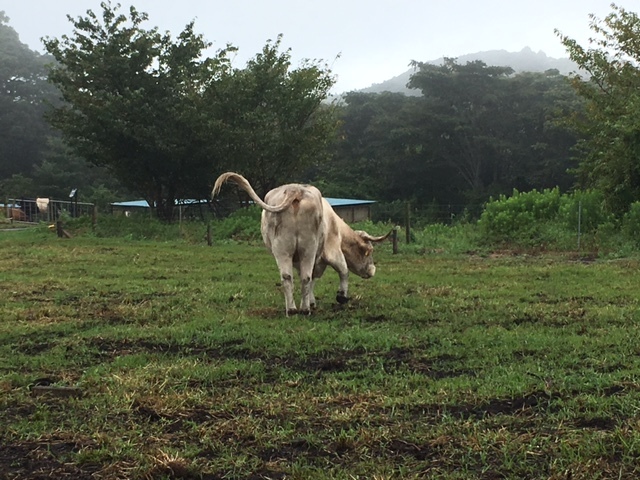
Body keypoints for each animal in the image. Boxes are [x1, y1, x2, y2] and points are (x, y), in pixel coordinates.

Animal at [212, 172, 390, 316]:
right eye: (369, 251)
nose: (372, 271)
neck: (336, 224)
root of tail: (295, 190)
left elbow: (310, 279)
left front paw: (311, 301)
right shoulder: (332, 252)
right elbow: (343, 271)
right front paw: (341, 297)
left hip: (283, 249)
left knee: (288, 277)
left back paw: (292, 309)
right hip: (308, 248)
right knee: (306, 277)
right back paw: (304, 310)